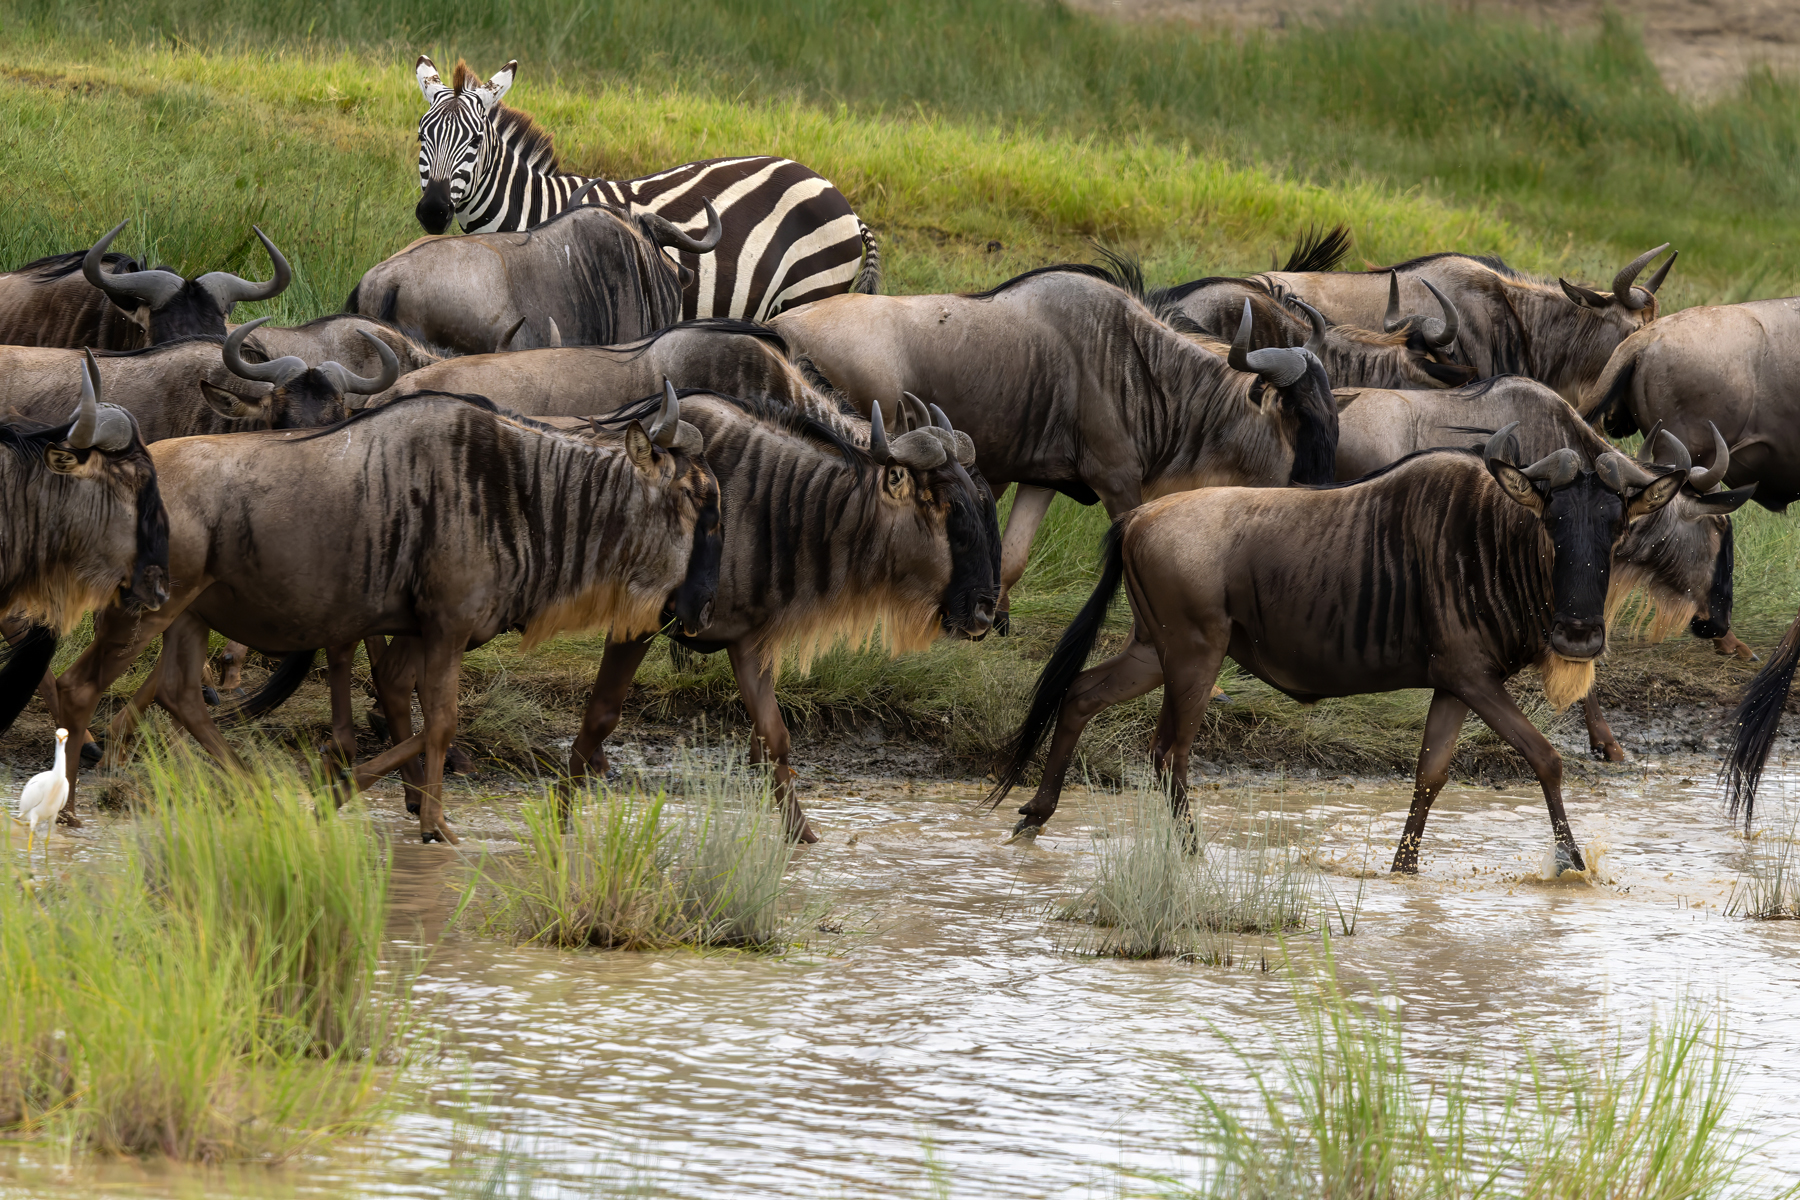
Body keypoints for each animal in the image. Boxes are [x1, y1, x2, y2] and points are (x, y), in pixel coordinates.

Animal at [413, 56, 881, 323]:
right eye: (422, 136)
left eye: (475, 141)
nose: (433, 210)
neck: (532, 209)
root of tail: (839, 196)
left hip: (809, 292)